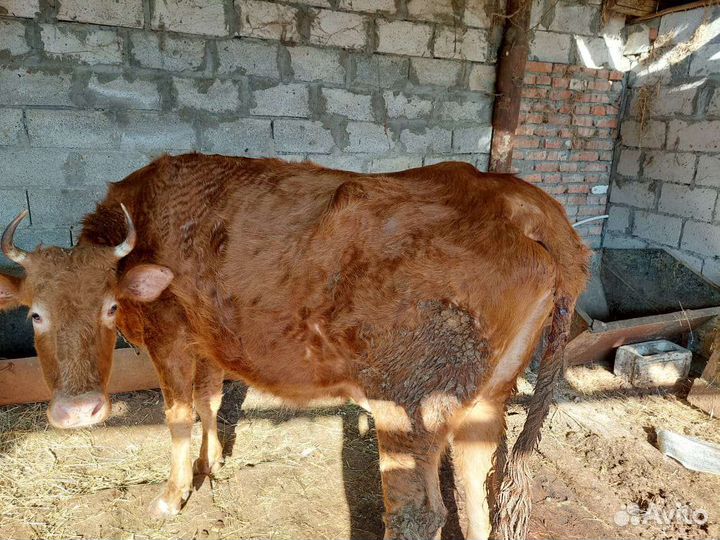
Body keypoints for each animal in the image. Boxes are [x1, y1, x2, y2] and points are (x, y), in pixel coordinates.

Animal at [0, 154, 589, 540]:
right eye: (35, 313)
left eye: (109, 306)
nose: (78, 410)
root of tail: (517, 198)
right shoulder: (208, 339)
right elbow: (211, 400)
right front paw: (214, 463)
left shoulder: (169, 338)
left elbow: (178, 416)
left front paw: (172, 495)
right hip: (487, 397)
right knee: (475, 490)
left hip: (410, 403)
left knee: (418, 513)